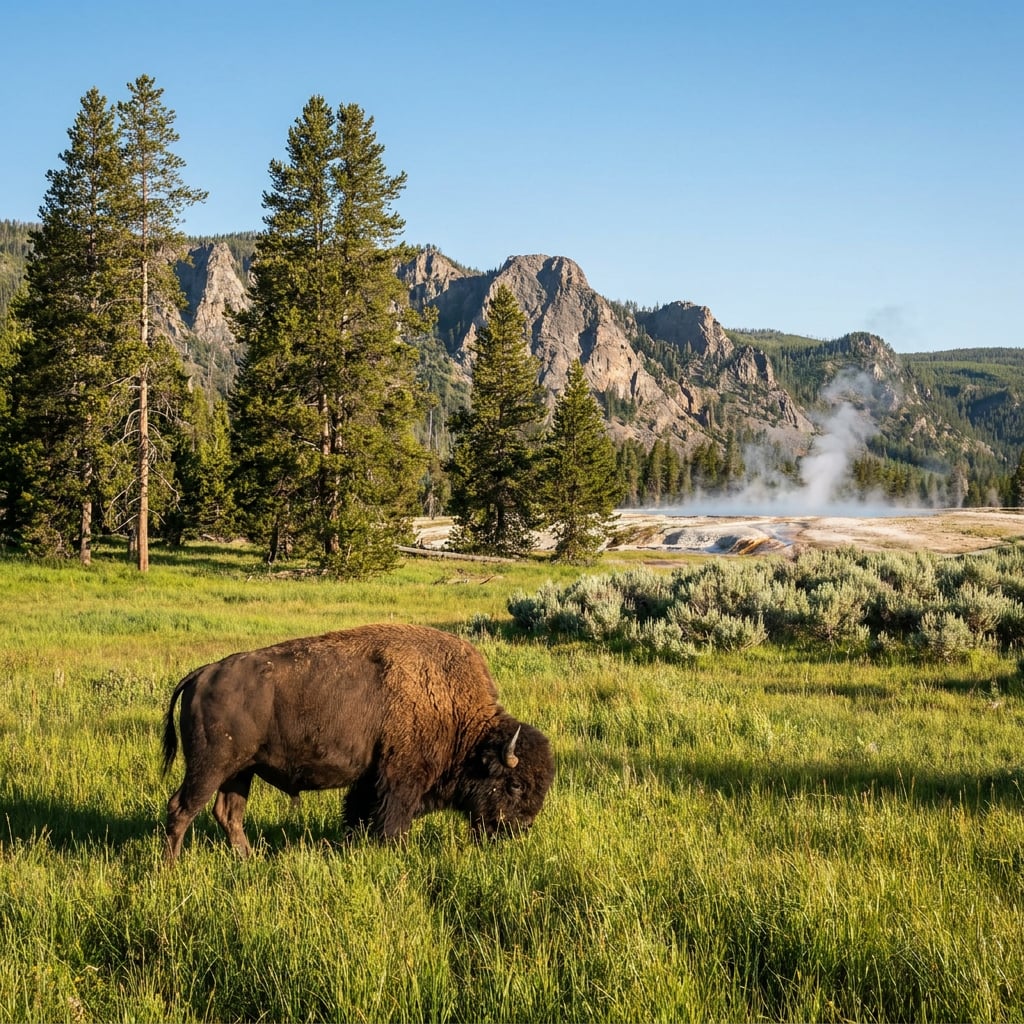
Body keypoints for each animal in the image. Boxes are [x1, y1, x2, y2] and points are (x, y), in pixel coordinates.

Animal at [161, 623, 554, 862]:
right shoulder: (400, 780)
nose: (519, 829)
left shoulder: (370, 779)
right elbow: (391, 822)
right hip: (210, 767)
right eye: (515, 785)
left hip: (241, 771)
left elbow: (357, 815)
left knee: (229, 814)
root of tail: (202, 673)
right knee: (181, 808)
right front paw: (396, 853)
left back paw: (248, 859)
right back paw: (171, 866)